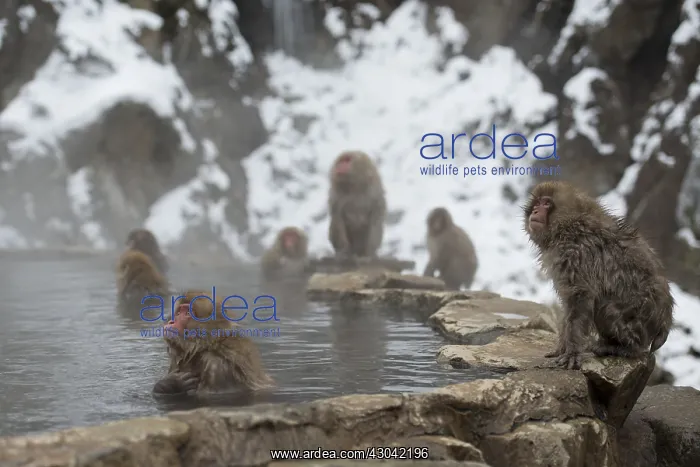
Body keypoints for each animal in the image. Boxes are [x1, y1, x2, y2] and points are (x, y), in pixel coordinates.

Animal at [523, 181, 674, 370]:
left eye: (546, 203)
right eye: (537, 203)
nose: (535, 211)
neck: (568, 226)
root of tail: (664, 322)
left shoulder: (576, 253)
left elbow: (580, 297)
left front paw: (572, 352)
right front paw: (562, 348)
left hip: (638, 320)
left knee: (607, 307)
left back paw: (624, 348)